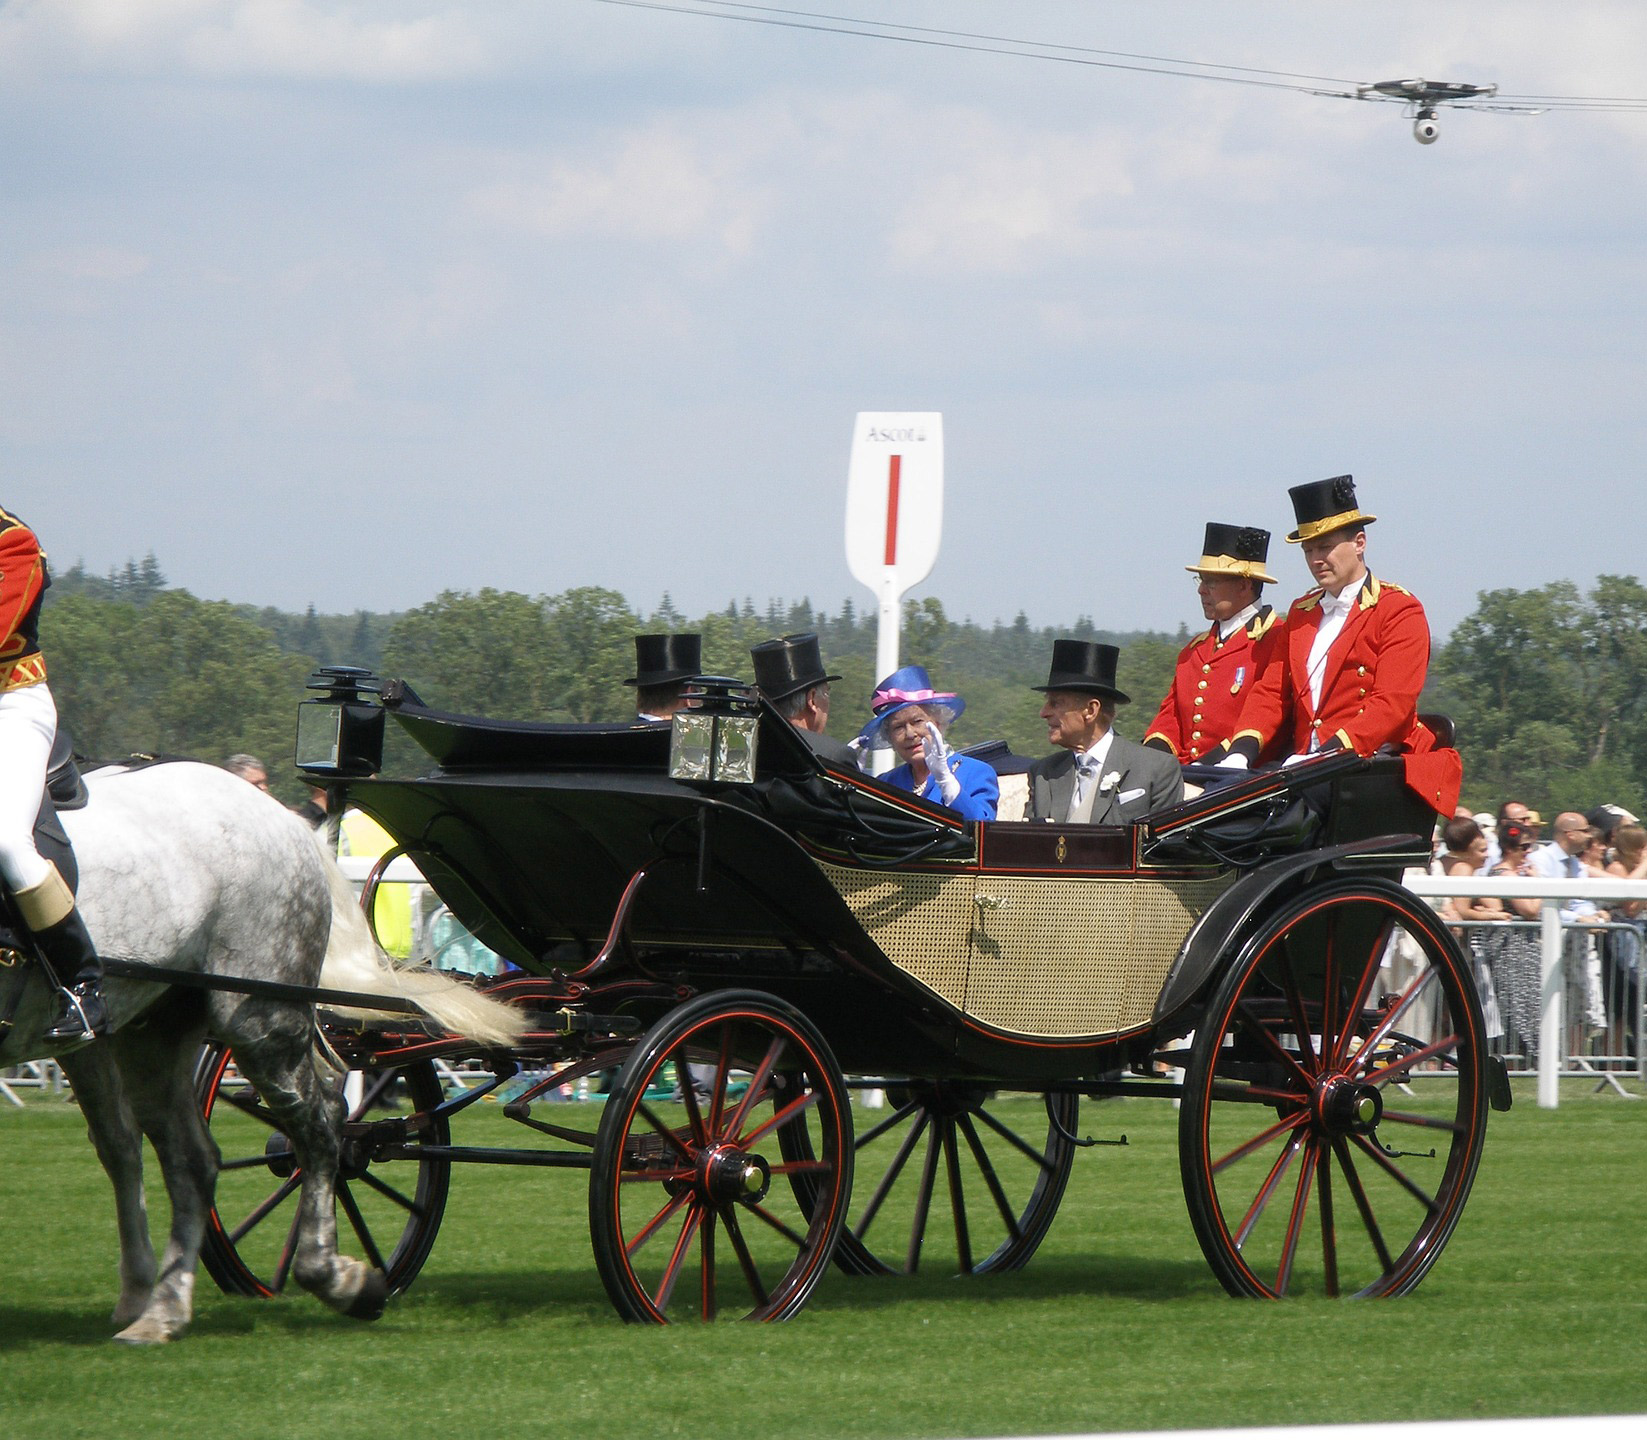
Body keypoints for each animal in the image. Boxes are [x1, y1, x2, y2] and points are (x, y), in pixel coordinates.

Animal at [1, 764, 520, 1337]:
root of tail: (292, 823)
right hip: (143, 1031)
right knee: (175, 1154)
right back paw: (160, 1307)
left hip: (259, 1019)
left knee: (319, 1129)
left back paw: (333, 1279)